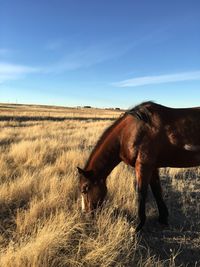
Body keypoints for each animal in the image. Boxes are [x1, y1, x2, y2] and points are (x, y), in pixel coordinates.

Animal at [76, 101, 200, 231]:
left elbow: (141, 193)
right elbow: (157, 191)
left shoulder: (143, 166)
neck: (130, 132)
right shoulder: (153, 167)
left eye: (85, 189)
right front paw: (163, 218)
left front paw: (138, 225)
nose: (86, 215)